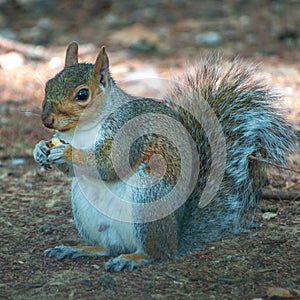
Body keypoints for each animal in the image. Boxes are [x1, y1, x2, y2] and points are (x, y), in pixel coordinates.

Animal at [32, 41, 292, 272]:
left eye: (82, 94)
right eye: (48, 84)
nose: (46, 120)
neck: (82, 129)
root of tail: (176, 237)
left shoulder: (128, 131)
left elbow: (110, 164)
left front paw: (66, 152)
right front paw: (40, 149)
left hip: (149, 197)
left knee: (156, 252)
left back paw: (133, 258)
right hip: (84, 207)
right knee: (108, 247)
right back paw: (79, 249)